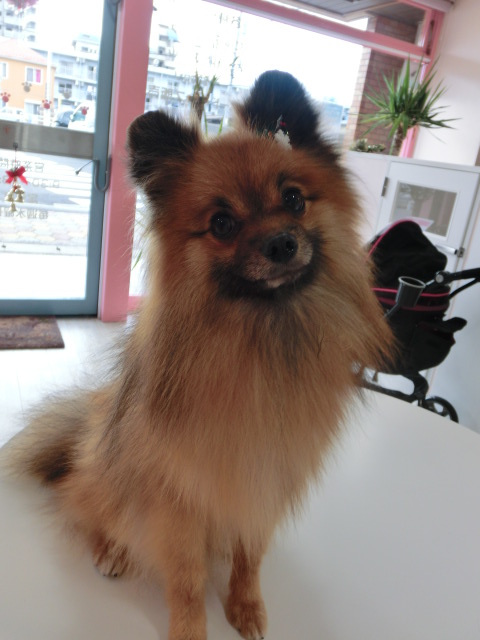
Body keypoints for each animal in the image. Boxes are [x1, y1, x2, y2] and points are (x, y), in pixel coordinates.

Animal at [5, 71, 392, 640]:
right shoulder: (178, 497)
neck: (260, 341)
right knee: (93, 509)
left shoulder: (263, 482)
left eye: (294, 199)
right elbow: (185, 577)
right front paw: (190, 628)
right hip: (111, 478)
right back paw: (112, 550)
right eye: (223, 223)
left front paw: (246, 607)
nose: (281, 243)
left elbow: (250, 557)